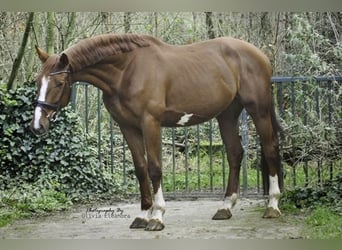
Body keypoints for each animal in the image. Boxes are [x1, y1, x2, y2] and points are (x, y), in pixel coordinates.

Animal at [30, 34, 282, 231]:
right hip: (227, 115)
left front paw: (157, 216)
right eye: (37, 81)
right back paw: (225, 207)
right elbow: (141, 169)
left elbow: (154, 168)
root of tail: (260, 55)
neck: (126, 71)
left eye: (59, 83)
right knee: (235, 154)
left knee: (270, 149)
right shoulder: (127, 127)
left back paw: (272, 206)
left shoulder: (150, 123)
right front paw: (142, 215)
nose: (37, 126)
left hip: (258, 110)